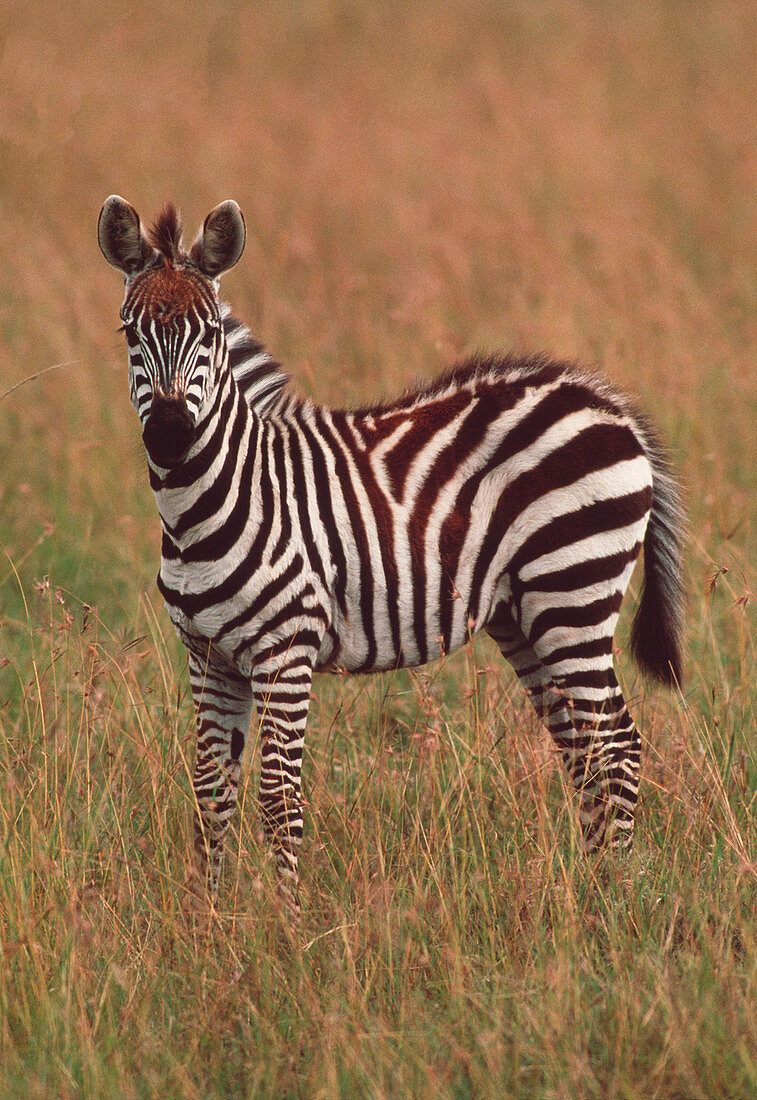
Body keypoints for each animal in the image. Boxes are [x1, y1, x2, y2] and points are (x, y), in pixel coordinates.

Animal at [97, 195, 682, 910]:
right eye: (130, 334)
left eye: (208, 334)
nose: (172, 435)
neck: (213, 502)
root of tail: (608, 403)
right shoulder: (207, 656)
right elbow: (212, 795)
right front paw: (212, 921)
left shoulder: (285, 651)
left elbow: (278, 800)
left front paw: (284, 923)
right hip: (528, 617)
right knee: (585, 751)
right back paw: (595, 888)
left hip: (573, 591)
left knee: (617, 748)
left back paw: (616, 901)